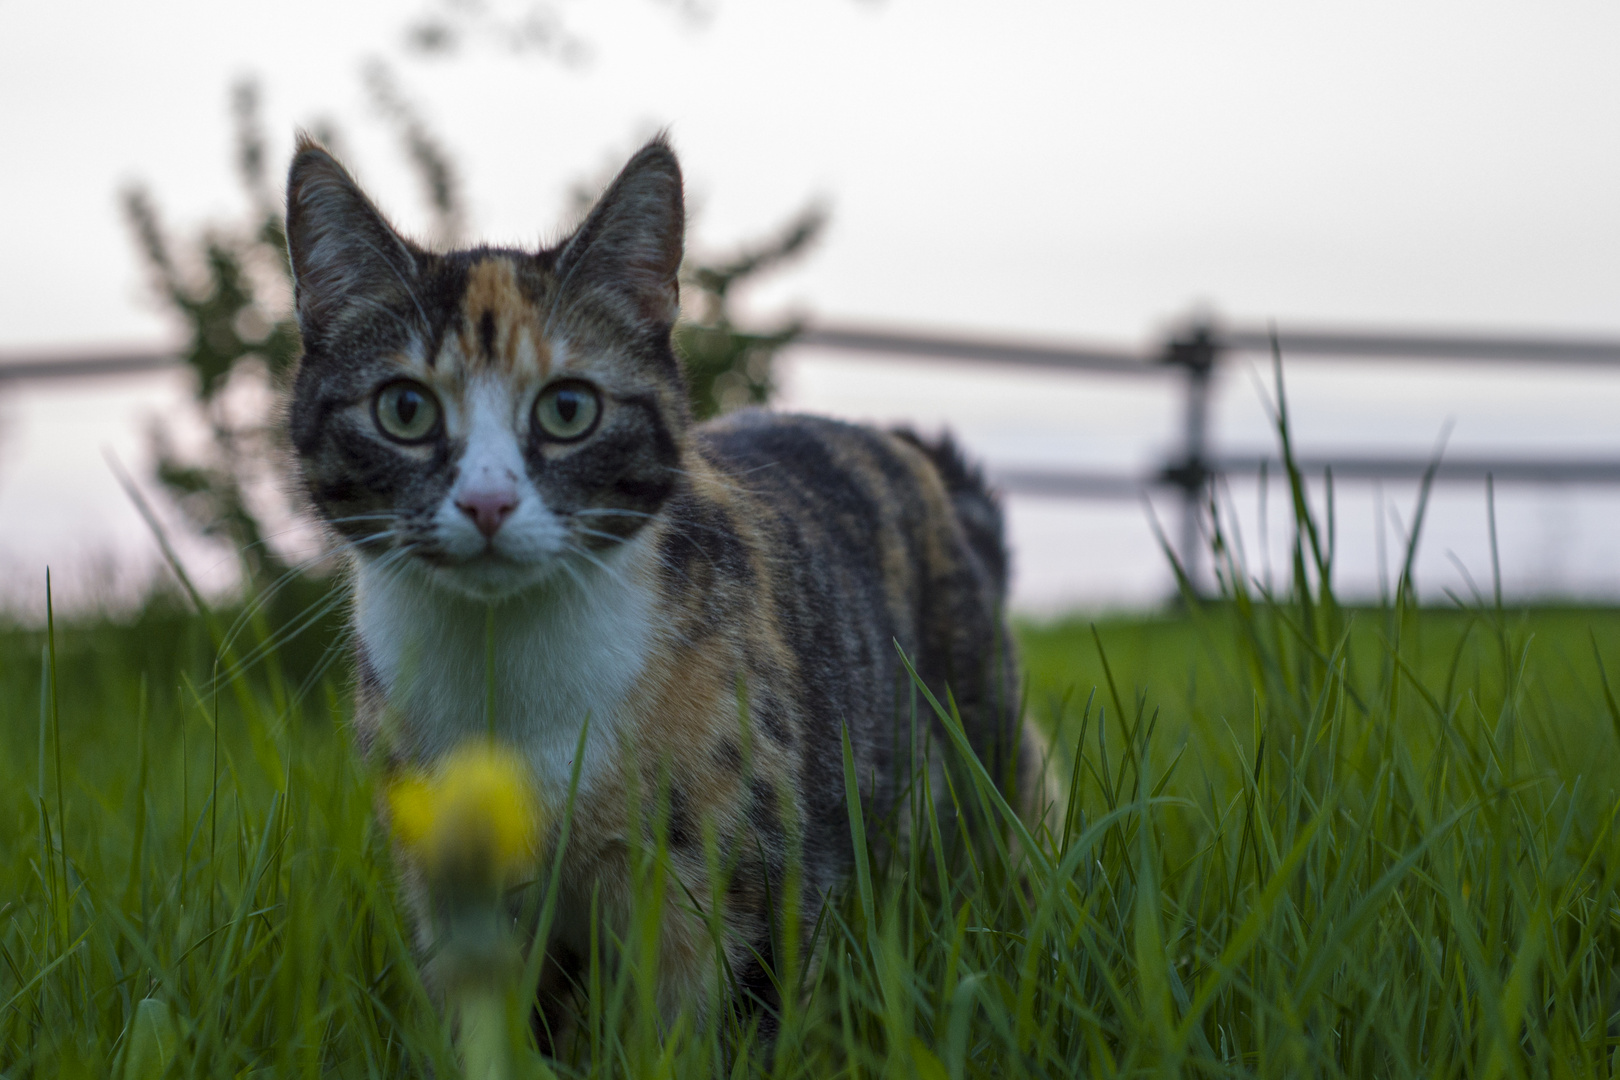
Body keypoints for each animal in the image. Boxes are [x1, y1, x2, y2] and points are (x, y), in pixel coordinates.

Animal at [283, 131, 1043, 1042]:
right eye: (404, 409)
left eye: (568, 409)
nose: (488, 503)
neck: (510, 675)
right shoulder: (450, 885)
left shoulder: (737, 876)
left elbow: (711, 1027)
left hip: (984, 761)